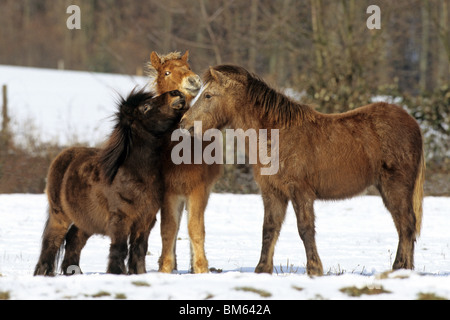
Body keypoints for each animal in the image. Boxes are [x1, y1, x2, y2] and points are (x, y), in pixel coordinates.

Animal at [33, 88, 186, 276]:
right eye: (146, 107)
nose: (176, 93)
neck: (136, 174)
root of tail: (63, 156)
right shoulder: (120, 219)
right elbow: (120, 248)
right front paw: (117, 272)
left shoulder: (145, 220)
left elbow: (139, 249)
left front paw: (138, 272)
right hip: (59, 215)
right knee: (52, 241)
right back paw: (44, 273)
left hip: (86, 220)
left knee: (73, 239)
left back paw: (74, 272)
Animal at [147, 51, 222, 274]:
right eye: (166, 72)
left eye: (188, 67)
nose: (193, 80)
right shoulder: (169, 193)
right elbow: (169, 229)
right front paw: (165, 266)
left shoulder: (197, 190)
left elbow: (195, 229)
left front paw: (201, 268)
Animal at [180, 65, 426, 276]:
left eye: (208, 95)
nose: (184, 123)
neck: (276, 135)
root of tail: (412, 122)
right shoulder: (273, 193)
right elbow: (269, 229)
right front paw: (262, 270)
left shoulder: (301, 192)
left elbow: (305, 229)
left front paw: (314, 269)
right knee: (404, 226)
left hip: (395, 188)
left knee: (406, 225)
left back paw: (399, 269)